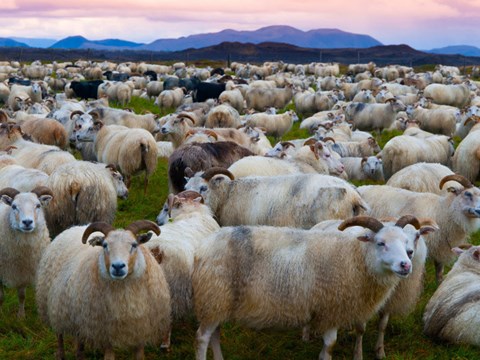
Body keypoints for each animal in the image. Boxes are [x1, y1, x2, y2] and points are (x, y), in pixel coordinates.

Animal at [0, 187, 52, 316]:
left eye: (38, 205)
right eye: (13, 206)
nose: (27, 222)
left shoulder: (23, 270)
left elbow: (22, 295)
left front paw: (21, 316)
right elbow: (1, 297)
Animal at [36, 221, 171, 358]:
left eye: (134, 244)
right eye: (105, 245)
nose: (118, 266)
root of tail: (74, 228)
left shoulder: (140, 332)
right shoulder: (105, 334)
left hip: (78, 317)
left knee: (79, 340)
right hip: (53, 306)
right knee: (59, 334)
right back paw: (60, 354)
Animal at [193, 215, 430, 358]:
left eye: (407, 242)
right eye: (380, 243)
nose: (406, 264)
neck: (355, 258)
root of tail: (204, 246)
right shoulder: (332, 307)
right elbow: (331, 344)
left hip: (219, 301)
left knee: (215, 334)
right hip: (214, 295)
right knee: (203, 337)